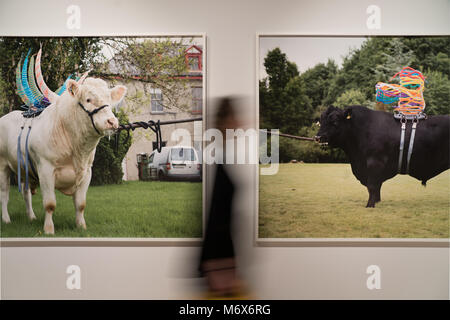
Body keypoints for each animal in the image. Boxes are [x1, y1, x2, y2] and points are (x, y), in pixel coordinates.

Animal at [0, 76, 126, 234]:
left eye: (109, 99)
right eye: (88, 99)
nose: (112, 122)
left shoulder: (87, 172)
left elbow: (80, 204)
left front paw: (81, 226)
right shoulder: (46, 170)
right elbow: (50, 204)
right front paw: (48, 229)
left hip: (24, 169)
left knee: (26, 193)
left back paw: (31, 217)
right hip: (3, 166)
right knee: (4, 193)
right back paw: (6, 219)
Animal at [314, 106, 448, 209]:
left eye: (335, 122)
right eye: (320, 121)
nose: (318, 137)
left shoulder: (374, 162)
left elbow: (372, 185)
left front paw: (370, 205)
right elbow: (376, 186)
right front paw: (376, 201)